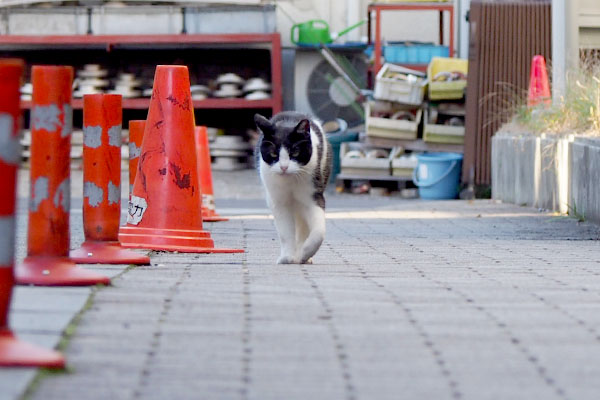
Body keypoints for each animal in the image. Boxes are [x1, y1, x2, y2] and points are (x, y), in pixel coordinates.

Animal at [253, 111, 332, 264]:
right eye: (273, 153)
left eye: (295, 152)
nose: (284, 167)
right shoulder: (278, 203)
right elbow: (286, 233)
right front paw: (287, 257)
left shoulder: (313, 196)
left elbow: (319, 231)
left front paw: (306, 253)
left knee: (303, 227)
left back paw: (302, 255)